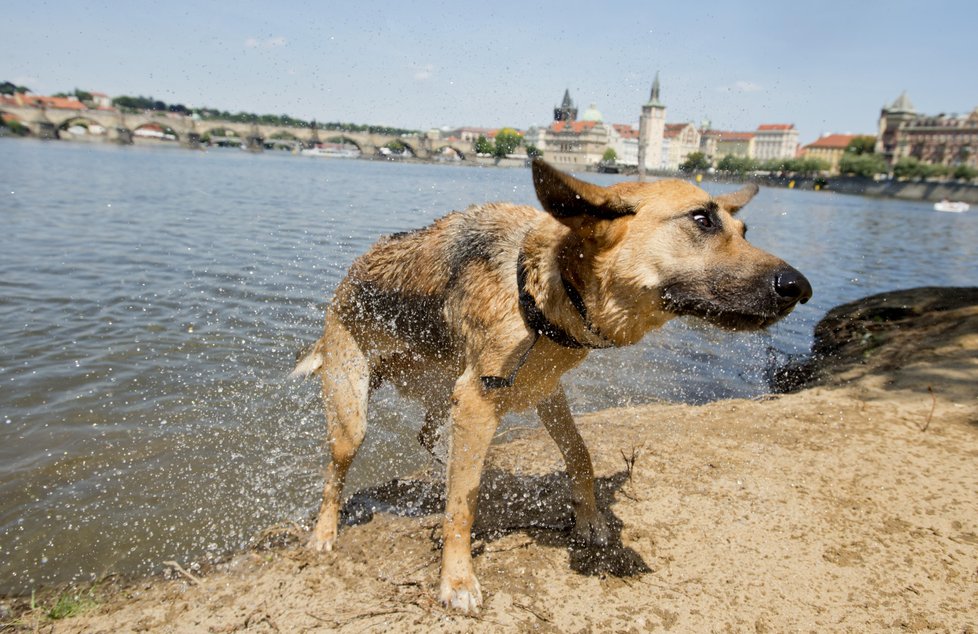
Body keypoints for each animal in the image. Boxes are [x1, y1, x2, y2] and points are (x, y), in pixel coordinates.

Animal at [290, 159, 808, 612]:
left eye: (743, 231)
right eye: (701, 219)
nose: (800, 288)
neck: (547, 287)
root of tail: (347, 281)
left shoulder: (542, 391)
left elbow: (579, 455)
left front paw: (590, 519)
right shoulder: (478, 402)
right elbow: (462, 504)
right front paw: (456, 580)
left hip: (437, 386)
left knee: (423, 429)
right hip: (354, 414)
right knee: (336, 472)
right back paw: (324, 534)